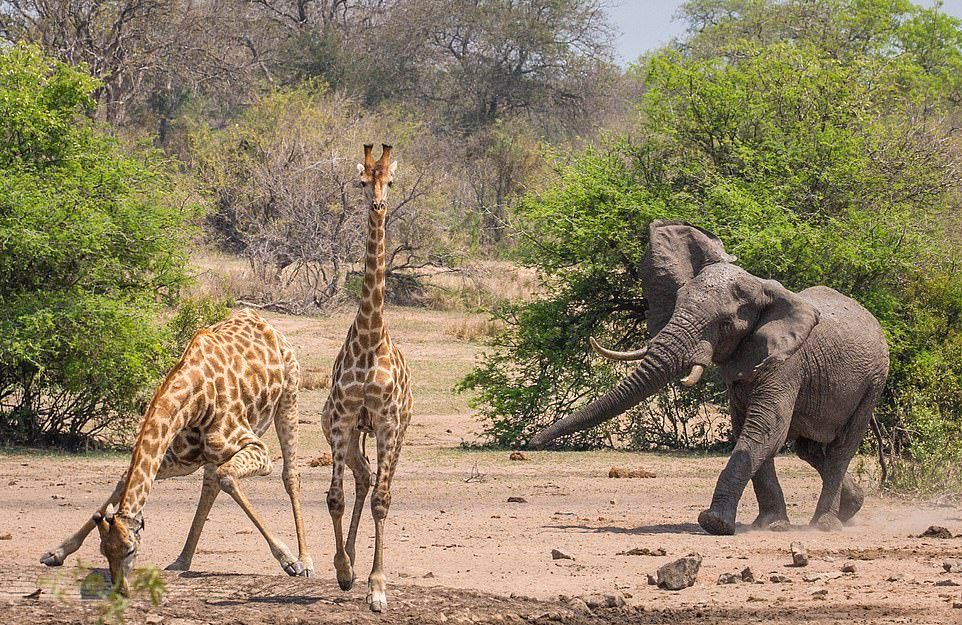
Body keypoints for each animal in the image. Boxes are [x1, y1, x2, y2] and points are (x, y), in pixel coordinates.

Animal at [40, 310, 312, 592]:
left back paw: (304, 560)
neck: (194, 400)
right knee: (210, 484)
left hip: (290, 395)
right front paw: (57, 553)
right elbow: (124, 480)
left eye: (130, 550)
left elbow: (228, 477)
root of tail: (264, 321)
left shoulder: (258, 449)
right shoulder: (180, 460)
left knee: (289, 475)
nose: (121, 589)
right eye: (104, 551)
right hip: (209, 454)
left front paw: (288, 559)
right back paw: (182, 560)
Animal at [528, 218, 888, 532]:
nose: (533, 442)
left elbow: (765, 429)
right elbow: (750, 430)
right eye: (677, 304)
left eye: (726, 324)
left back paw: (826, 524)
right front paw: (770, 526)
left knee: (841, 448)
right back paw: (851, 507)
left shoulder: (787, 362)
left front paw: (715, 524)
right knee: (810, 449)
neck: (763, 288)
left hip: (875, 380)